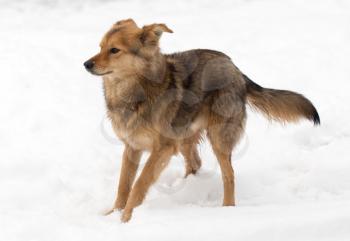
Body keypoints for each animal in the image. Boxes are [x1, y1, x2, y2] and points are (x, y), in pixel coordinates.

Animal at [84, 18, 320, 222]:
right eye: (100, 47)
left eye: (114, 50)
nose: (86, 64)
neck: (135, 92)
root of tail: (235, 68)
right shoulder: (132, 146)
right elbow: (123, 185)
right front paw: (113, 214)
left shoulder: (163, 148)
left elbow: (139, 184)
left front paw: (126, 218)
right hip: (185, 138)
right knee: (195, 163)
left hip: (217, 138)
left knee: (229, 175)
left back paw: (227, 209)